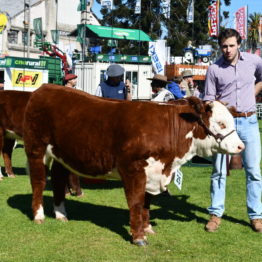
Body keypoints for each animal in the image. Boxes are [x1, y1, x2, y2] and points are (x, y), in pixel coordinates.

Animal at [22, 84, 244, 246]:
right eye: (221, 123)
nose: (241, 146)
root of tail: (45, 88)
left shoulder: (153, 172)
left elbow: (146, 202)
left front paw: (147, 228)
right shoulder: (133, 168)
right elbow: (136, 202)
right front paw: (138, 237)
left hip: (61, 156)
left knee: (58, 180)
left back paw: (61, 214)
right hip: (36, 149)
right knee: (39, 182)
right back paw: (39, 215)